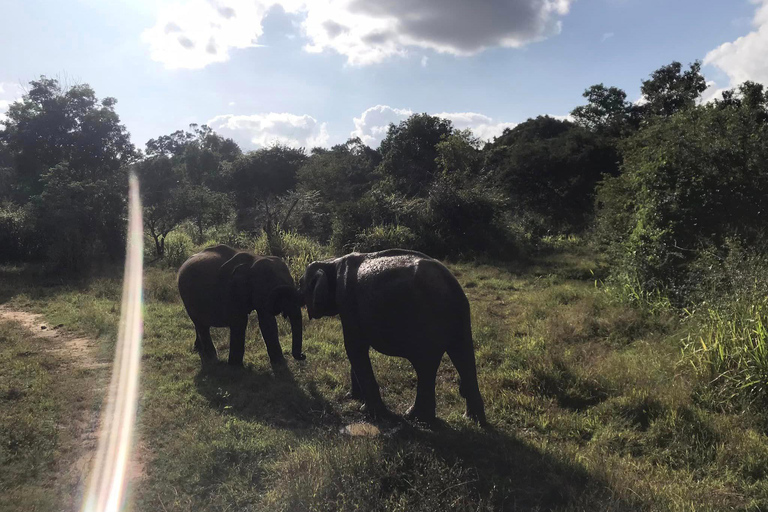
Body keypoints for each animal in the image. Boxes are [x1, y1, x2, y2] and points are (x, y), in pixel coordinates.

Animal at [177, 246, 306, 366]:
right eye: (278, 293)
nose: (303, 355)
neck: (254, 261)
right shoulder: (232, 292)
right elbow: (240, 322)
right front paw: (235, 366)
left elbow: (267, 322)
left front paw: (279, 363)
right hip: (187, 296)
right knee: (201, 325)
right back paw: (213, 360)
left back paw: (198, 349)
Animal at [300, 249, 486, 424]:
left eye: (301, 285)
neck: (332, 262)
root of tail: (452, 285)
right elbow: (358, 347)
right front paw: (352, 397)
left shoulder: (347, 300)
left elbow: (354, 347)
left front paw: (370, 412)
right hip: (459, 319)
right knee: (463, 357)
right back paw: (473, 419)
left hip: (426, 321)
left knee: (425, 366)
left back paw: (415, 417)